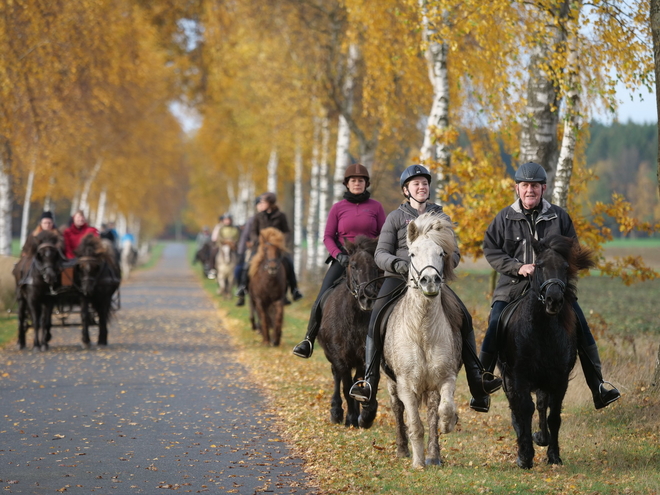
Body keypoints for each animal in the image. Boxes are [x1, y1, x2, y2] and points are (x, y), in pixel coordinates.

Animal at [318, 235, 384, 426]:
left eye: (376, 267)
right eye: (353, 265)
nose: (367, 298)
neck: (353, 318)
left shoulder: (362, 355)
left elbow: (357, 382)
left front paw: (359, 415)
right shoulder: (339, 356)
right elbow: (346, 384)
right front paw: (351, 417)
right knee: (336, 376)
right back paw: (336, 411)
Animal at [382, 212, 464, 468]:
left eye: (441, 253)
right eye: (412, 254)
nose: (430, 280)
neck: (423, 332)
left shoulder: (446, 378)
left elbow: (442, 411)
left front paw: (449, 423)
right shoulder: (406, 385)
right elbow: (415, 425)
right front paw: (417, 463)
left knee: (431, 412)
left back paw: (434, 456)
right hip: (391, 382)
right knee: (397, 409)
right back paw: (403, 450)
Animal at [498, 235, 596, 468]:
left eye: (566, 266)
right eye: (539, 265)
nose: (554, 300)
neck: (542, 331)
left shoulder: (559, 378)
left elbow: (553, 414)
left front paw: (553, 454)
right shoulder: (519, 376)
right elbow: (524, 409)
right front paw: (525, 455)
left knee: (542, 406)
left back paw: (542, 437)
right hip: (508, 379)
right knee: (516, 407)